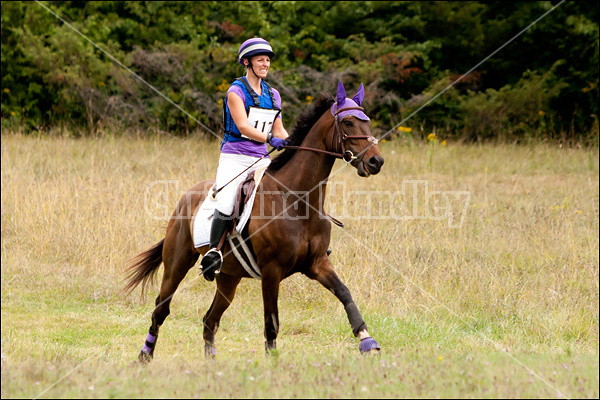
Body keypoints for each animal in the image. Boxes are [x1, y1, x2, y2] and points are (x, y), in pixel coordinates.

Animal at [125, 81, 386, 362]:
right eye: (348, 122)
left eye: (367, 122)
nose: (376, 161)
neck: (297, 200)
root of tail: (186, 197)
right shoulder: (271, 271)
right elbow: (271, 322)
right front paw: (272, 362)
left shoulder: (317, 263)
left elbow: (345, 293)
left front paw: (367, 340)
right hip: (177, 263)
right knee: (161, 310)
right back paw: (145, 356)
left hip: (228, 277)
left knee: (209, 319)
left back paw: (210, 363)